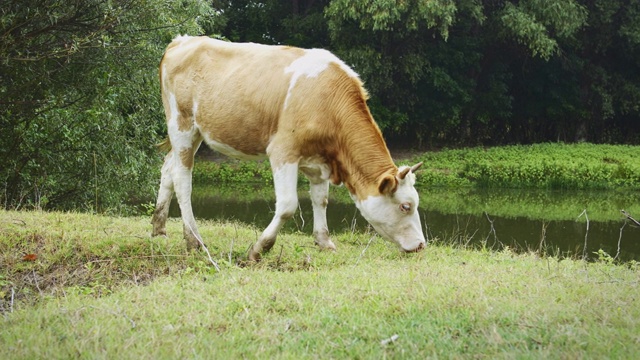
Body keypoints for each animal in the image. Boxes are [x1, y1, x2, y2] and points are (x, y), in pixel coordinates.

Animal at [150, 35, 424, 262]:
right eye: (405, 206)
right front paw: (259, 248)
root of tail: (182, 40)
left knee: (167, 168)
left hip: (194, 132)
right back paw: (193, 240)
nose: (421, 245)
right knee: (183, 180)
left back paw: (158, 228)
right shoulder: (283, 150)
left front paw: (324, 241)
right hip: (182, 124)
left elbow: (321, 199)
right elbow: (288, 205)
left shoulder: (318, 159)